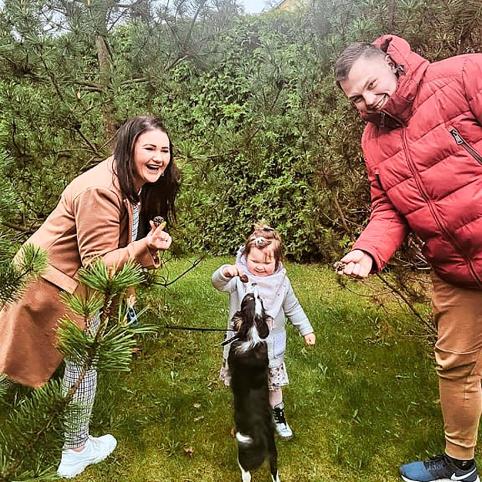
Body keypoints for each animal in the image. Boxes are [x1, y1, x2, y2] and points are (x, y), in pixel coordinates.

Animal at [227, 286, 281, 482]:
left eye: (248, 299)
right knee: (275, 473)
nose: (255, 287)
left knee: (246, 472)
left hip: (244, 453)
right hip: (274, 455)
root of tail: (264, 438)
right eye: (259, 300)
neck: (253, 335)